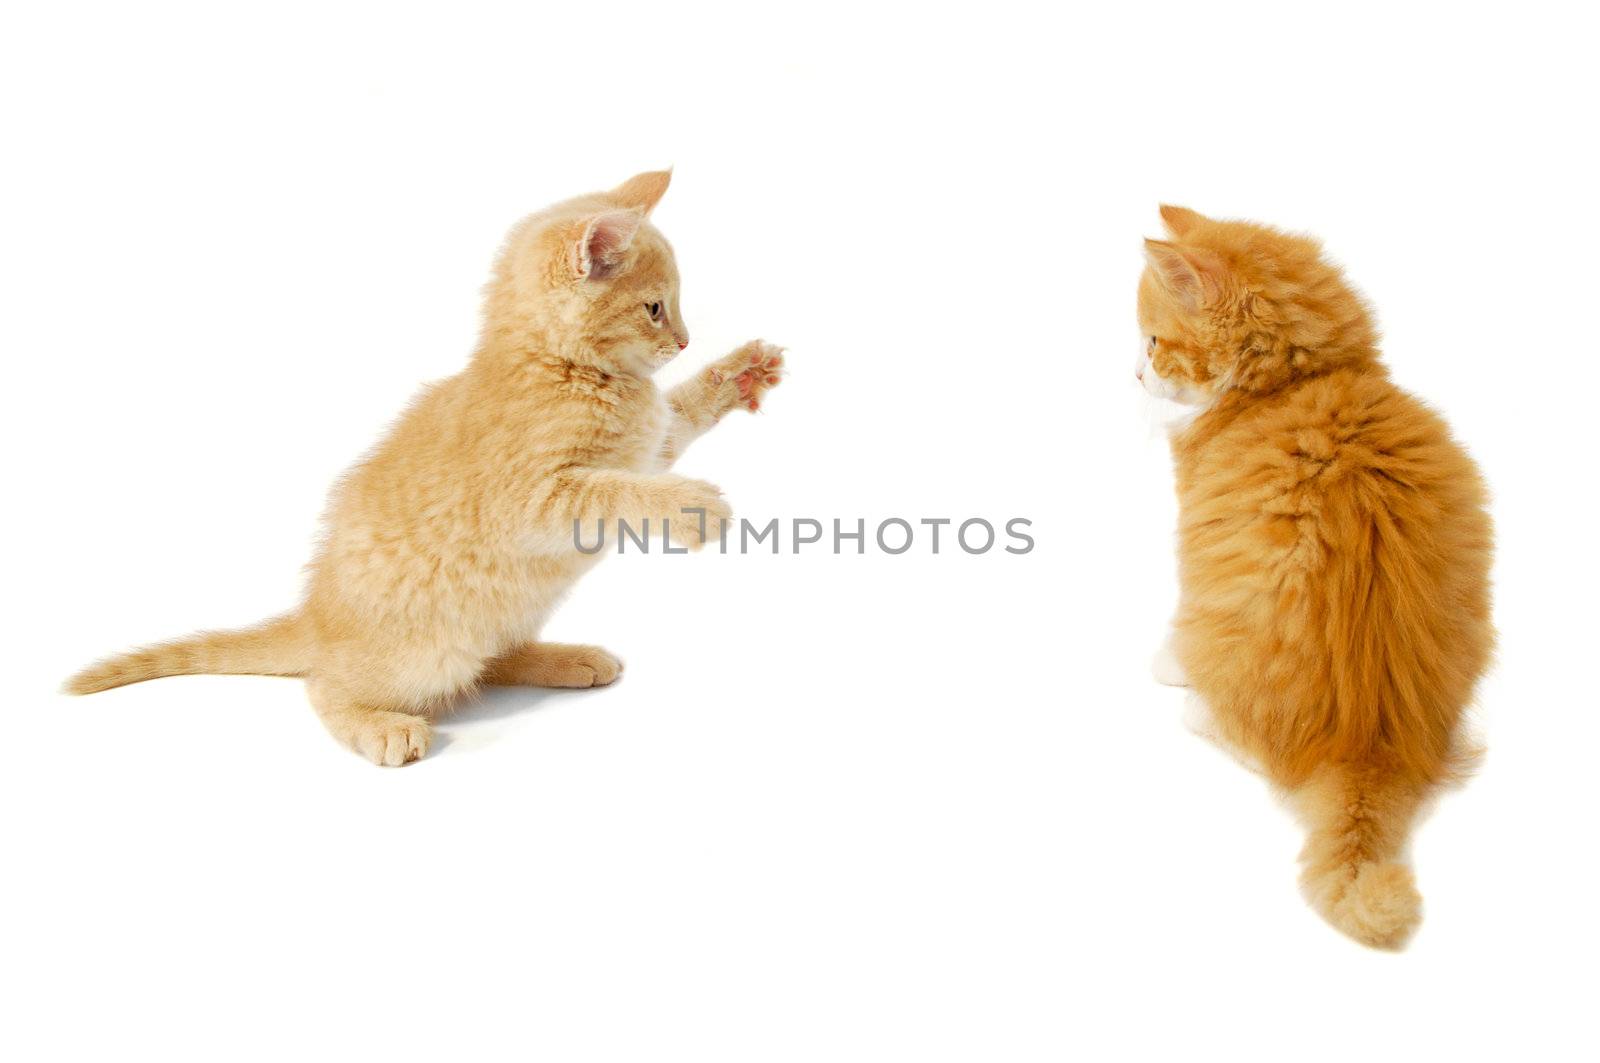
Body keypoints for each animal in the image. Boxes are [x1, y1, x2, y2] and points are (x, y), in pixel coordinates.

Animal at [64, 168, 787, 765]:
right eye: (655, 308)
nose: (685, 341)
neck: (561, 369)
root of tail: (315, 618)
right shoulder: (535, 498)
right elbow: (614, 491)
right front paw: (692, 507)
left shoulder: (648, 443)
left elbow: (676, 419)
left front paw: (737, 371)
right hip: (425, 652)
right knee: (323, 686)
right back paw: (380, 726)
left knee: (491, 658)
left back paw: (564, 658)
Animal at [1139, 204, 1484, 947]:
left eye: (1153, 342)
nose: (1134, 373)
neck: (1291, 386)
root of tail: (1369, 744)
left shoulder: (1194, 536)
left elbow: (1180, 619)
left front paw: (1168, 661)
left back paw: (1197, 704)